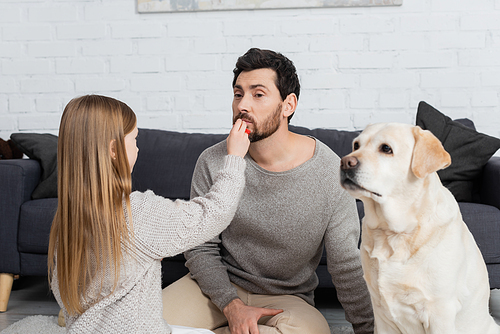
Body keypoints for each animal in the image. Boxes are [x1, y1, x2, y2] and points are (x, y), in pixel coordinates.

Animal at [338, 122, 498, 334]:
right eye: (356, 145)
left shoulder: (440, 312)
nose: (345, 162)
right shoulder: (381, 315)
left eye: (386, 148)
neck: (393, 233)